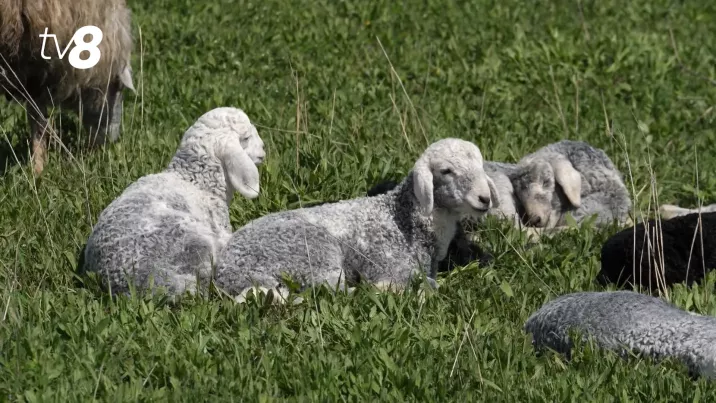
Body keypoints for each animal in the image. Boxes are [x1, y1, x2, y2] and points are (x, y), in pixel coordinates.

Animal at [213, 138, 500, 303]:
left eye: (480, 166)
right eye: (446, 171)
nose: (484, 198)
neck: (402, 218)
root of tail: (226, 274)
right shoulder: (390, 264)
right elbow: (427, 284)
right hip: (313, 252)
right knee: (329, 290)